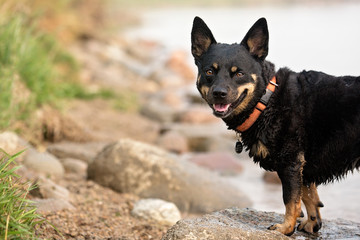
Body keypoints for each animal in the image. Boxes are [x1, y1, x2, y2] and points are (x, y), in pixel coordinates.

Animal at [190, 17, 358, 236]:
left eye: (239, 73)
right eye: (209, 72)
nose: (219, 93)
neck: (266, 100)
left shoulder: (290, 160)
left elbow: (291, 198)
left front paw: (285, 228)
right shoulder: (301, 164)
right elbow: (307, 194)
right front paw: (311, 223)